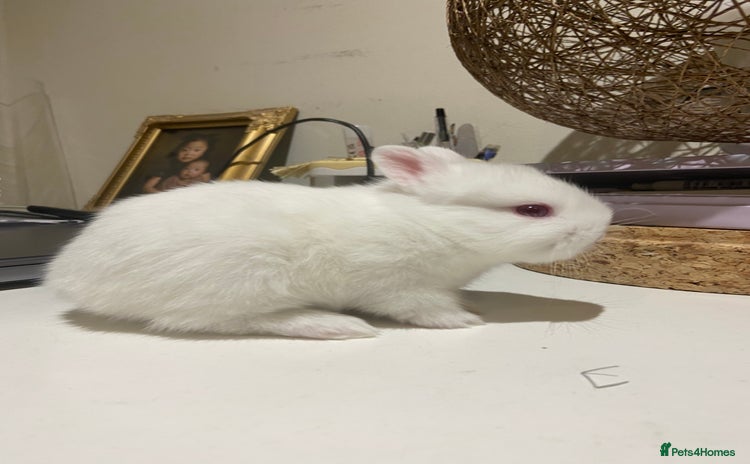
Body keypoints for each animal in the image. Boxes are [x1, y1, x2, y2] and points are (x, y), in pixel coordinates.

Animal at [45, 145, 612, 340]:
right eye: (533, 211)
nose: (605, 218)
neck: (435, 226)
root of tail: (69, 272)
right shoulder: (397, 287)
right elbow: (423, 309)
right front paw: (462, 320)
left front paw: (470, 306)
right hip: (239, 285)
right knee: (230, 323)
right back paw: (337, 326)